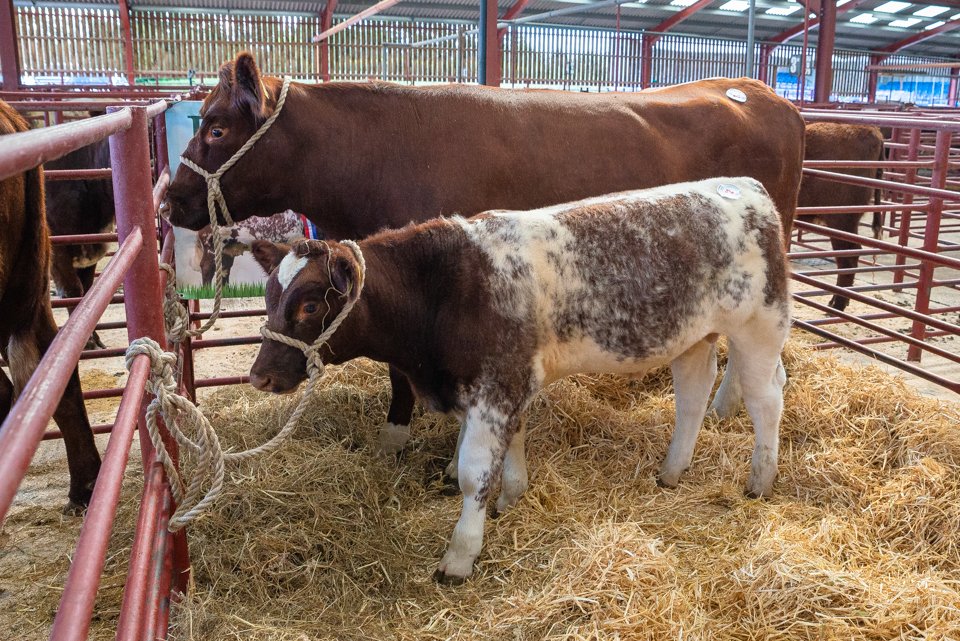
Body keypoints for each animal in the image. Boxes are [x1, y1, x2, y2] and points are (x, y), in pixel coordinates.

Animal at [248, 178, 788, 584]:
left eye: (310, 304)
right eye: (269, 295)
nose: (259, 376)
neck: (443, 289)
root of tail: (746, 187)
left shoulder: (496, 387)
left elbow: (473, 474)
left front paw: (460, 556)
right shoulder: (503, 386)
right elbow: (513, 446)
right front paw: (512, 496)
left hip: (760, 329)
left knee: (766, 401)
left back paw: (759, 481)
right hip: (692, 336)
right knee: (694, 394)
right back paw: (672, 472)